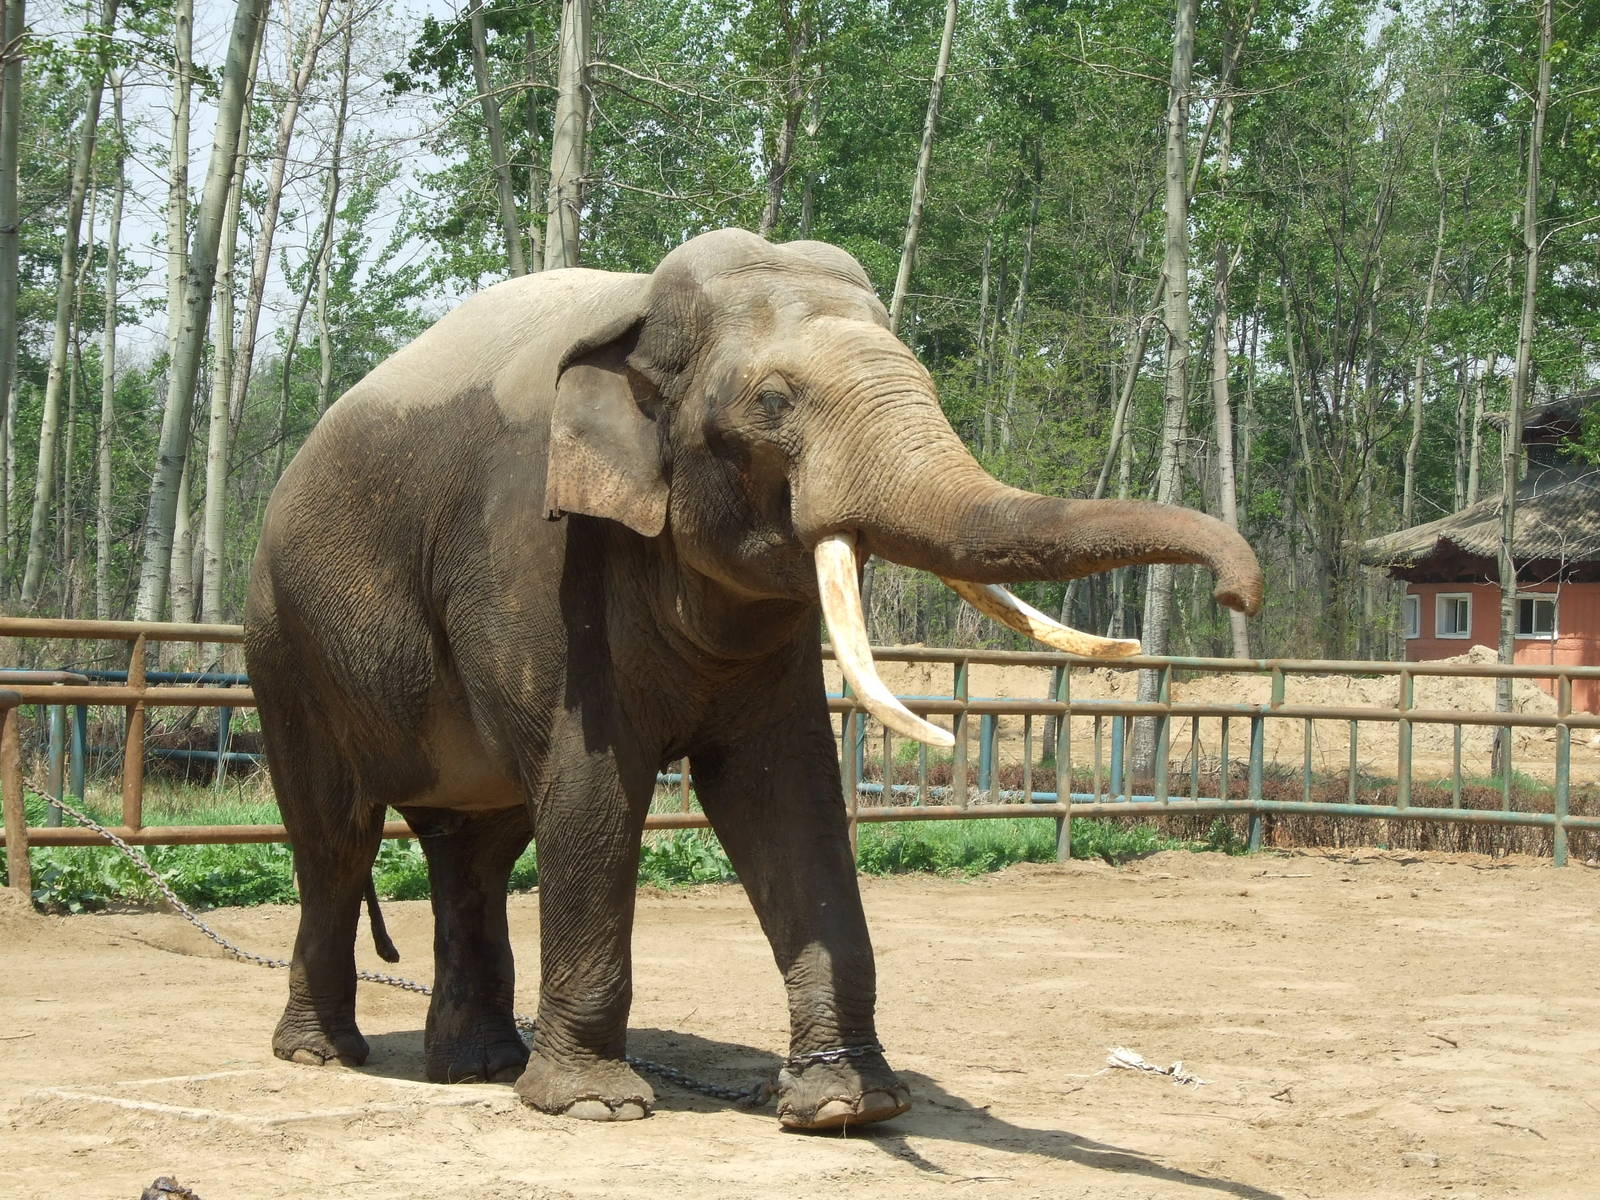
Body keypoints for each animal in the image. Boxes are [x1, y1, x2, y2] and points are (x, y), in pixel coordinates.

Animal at [244, 228, 1262, 1130]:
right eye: (774, 400)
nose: (1240, 591)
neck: (637, 318)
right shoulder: (535, 553)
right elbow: (591, 790)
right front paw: (598, 1106)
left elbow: (788, 794)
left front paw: (847, 1107)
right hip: (285, 648)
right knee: (336, 837)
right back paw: (324, 1055)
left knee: (474, 850)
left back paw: (481, 1066)